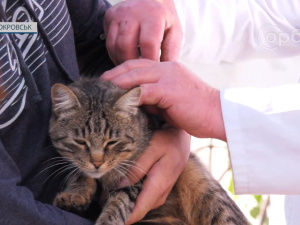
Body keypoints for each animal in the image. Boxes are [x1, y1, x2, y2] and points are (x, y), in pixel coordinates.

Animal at [49, 78, 248, 224]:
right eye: (80, 142)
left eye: (112, 142)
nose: (97, 163)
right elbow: (79, 173)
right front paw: (74, 194)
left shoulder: (136, 176)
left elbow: (119, 203)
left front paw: (108, 220)